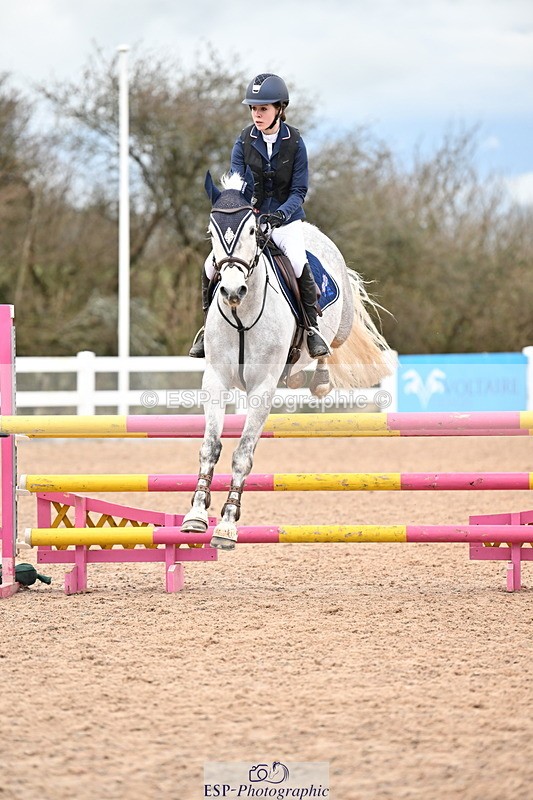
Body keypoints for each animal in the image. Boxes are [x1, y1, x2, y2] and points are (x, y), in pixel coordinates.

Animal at [181, 169, 394, 550]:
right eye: (211, 231)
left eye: (253, 230)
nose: (232, 291)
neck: (241, 313)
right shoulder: (216, 380)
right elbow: (210, 446)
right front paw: (196, 514)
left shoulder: (262, 389)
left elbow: (242, 454)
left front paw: (227, 524)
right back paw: (296, 376)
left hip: (340, 324)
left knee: (329, 347)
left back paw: (319, 376)